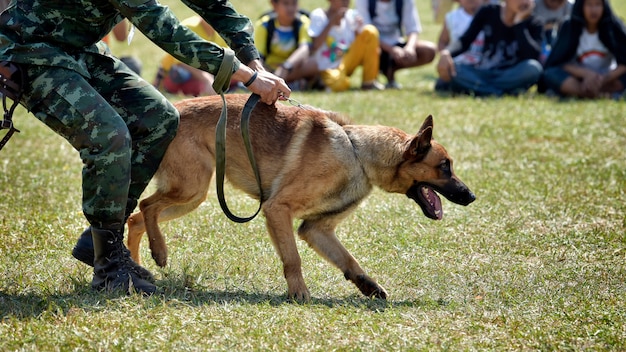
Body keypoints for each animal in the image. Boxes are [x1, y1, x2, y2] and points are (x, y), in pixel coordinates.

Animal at [129, 95, 476, 302]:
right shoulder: (277, 210)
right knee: (146, 206)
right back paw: (158, 252)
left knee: (136, 217)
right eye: (444, 167)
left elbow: (348, 260)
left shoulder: (316, 230)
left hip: (192, 196)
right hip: (192, 187)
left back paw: (137, 268)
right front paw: (299, 294)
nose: (471, 196)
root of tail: (176, 109)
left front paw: (367, 285)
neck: (357, 153)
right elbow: (292, 259)